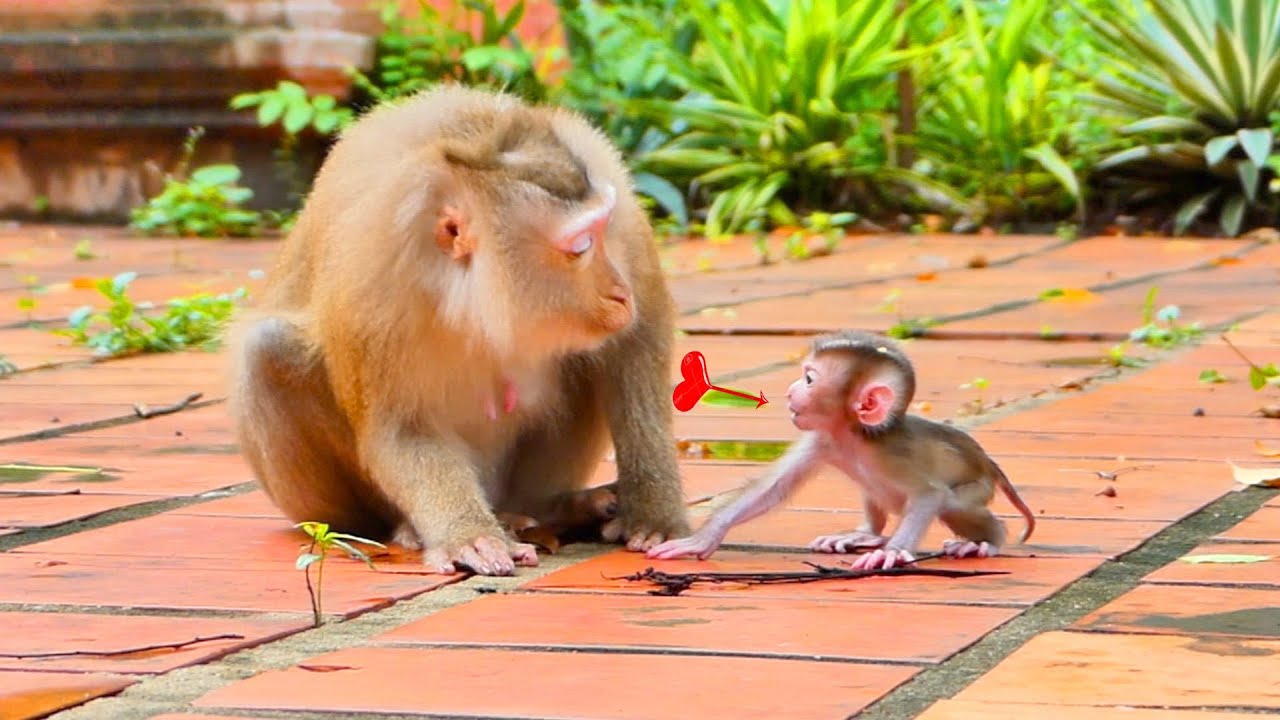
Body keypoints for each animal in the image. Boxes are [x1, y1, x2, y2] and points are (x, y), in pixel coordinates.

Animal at [228, 84, 689, 577]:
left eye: (603, 231)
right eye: (581, 247)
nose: (620, 293)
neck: (480, 292)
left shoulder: (611, 190)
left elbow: (636, 348)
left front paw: (654, 511)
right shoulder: (371, 284)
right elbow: (401, 427)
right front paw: (468, 535)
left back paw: (553, 507)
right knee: (267, 349)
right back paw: (412, 527)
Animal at [647, 330, 1035, 571]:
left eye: (809, 379)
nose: (789, 391)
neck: (853, 435)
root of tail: (988, 462)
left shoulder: (889, 456)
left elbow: (929, 495)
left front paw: (891, 554)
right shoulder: (822, 438)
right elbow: (773, 489)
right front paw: (702, 539)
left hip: (978, 488)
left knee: (954, 502)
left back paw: (987, 541)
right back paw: (867, 534)